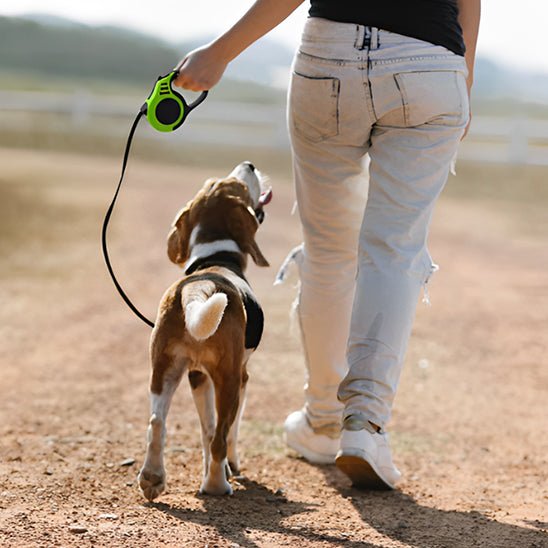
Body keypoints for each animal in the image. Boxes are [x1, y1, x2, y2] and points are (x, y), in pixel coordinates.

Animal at [138, 161, 270, 498]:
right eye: (239, 186)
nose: (249, 165)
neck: (215, 258)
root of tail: (200, 287)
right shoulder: (241, 376)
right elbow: (227, 433)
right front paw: (230, 468)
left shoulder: (197, 376)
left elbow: (206, 430)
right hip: (228, 380)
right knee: (222, 436)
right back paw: (216, 485)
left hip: (164, 370)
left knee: (157, 423)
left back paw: (152, 478)